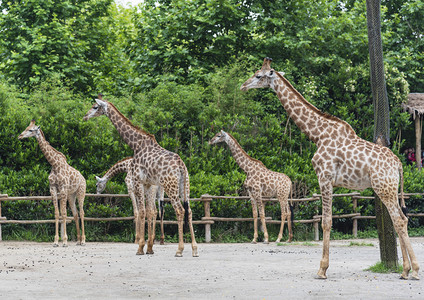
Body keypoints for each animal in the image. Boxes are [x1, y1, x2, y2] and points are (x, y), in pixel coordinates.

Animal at [83, 97, 199, 256]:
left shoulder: (137, 182)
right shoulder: (148, 184)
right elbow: (149, 211)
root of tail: (182, 166)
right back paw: (194, 249)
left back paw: (179, 250)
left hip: (170, 186)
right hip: (184, 186)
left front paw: (140, 247)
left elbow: (141, 212)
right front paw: (149, 247)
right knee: (189, 211)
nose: (85, 116)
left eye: (95, 107)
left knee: (180, 211)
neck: (136, 144)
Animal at [240, 58, 420, 282]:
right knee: (400, 219)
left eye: (258, 75)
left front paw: (322, 269)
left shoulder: (324, 177)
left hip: (384, 188)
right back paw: (405, 270)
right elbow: (328, 220)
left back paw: (414, 270)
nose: (243, 86)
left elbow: (326, 222)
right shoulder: (330, 181)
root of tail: (398, 163)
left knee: (400, 220)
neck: (318, 134)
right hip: (389, 188)